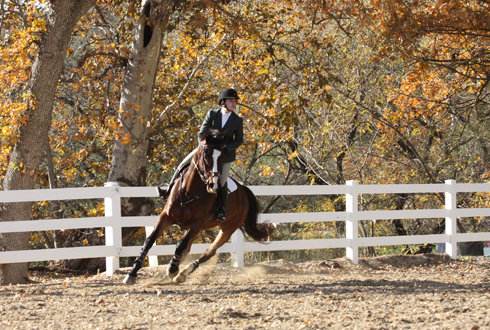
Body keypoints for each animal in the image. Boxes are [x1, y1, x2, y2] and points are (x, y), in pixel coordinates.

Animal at [122, 130, 274, 284]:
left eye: (222, 157)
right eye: (205, 155)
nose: (213, 186)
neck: (189, 192)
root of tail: (243, 190)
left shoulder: (196, 223)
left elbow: (180, 246)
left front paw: (172, 270)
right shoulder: (166, 217)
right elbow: (150, 240)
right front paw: (132, 273)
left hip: (227, 228)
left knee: (209, 251)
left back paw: (182, 272)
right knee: (188, 249)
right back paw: (172, 274)